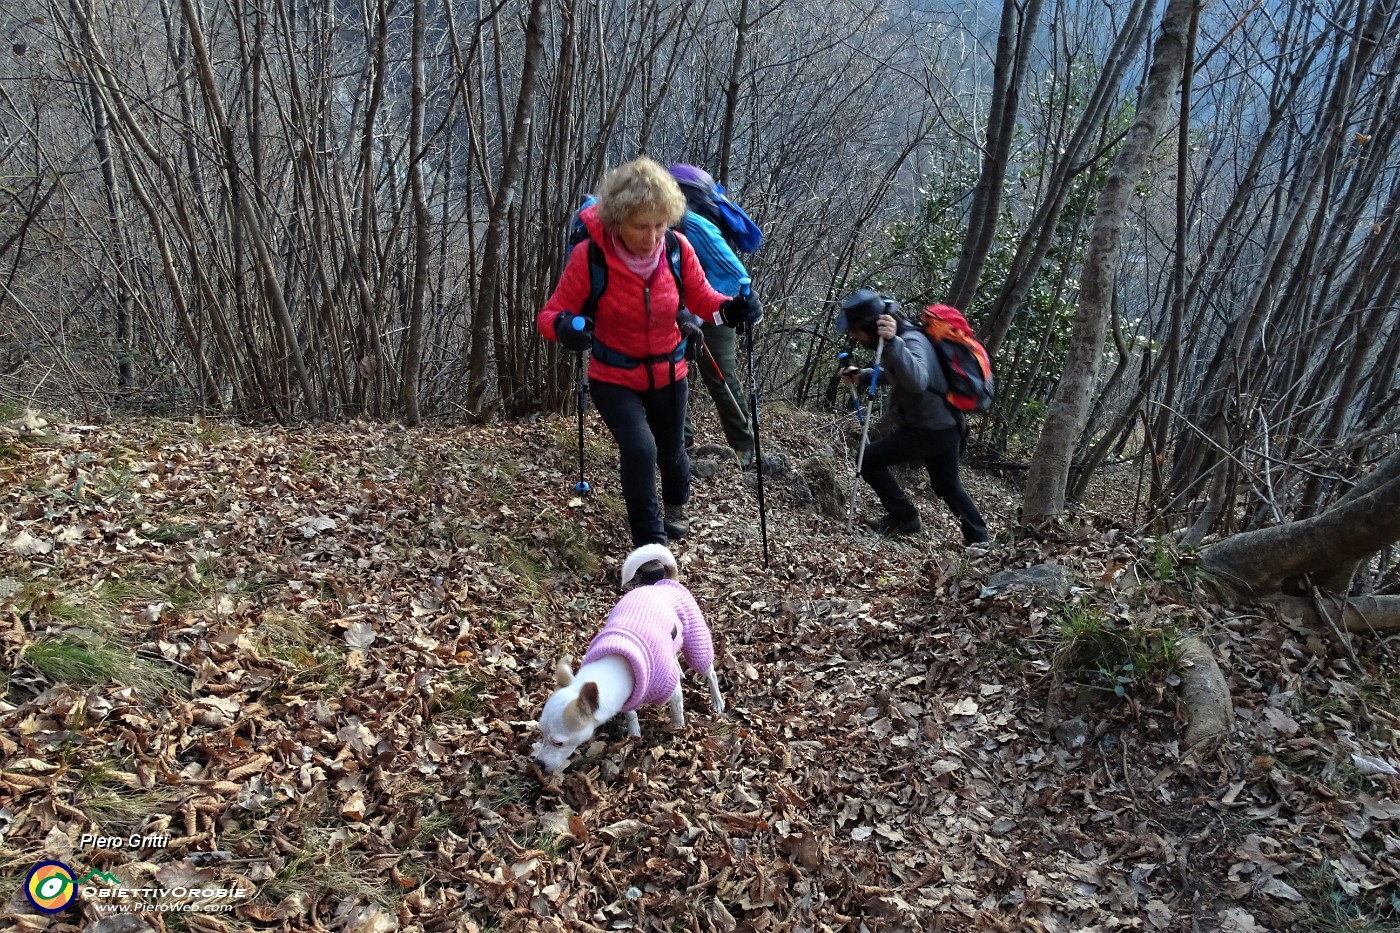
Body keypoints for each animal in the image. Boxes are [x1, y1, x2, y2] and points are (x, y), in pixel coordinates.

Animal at [532, 537, 728, 767]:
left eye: (558, 743)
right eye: (541, 733)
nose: (538, 764)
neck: (616, 664)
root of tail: (667, 581)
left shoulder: (671, 689)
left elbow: (677, 708)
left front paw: (677, 728)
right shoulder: (626, 698)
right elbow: (631, 715)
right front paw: (634, 734)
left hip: (696, 646)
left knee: (710, 673)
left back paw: (717, 701)